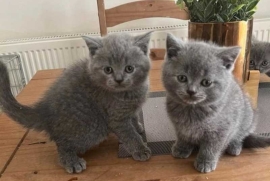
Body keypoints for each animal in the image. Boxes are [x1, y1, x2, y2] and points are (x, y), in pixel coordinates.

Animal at [0, 31, 152, 173]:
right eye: (108, 69)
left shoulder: (131, 109)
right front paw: (140, 150)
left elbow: (134, 118)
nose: (119, 79)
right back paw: (72, 161)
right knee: (62, 144)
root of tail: (44, 110)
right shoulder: (116, 118)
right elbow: (129, 134)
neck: (129, 92)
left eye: (129, 68)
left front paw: (138, 127)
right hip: (92, 128)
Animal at [162, 33, 270, 173]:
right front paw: (182, 148)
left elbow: (212, 147)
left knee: (241, 135)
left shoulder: (222, 130)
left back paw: (234, 146)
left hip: (247, 119)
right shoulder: (180, 127)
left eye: (206, 82)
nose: (191, 91)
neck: (192, 110)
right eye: (182, 78)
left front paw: (205, 161)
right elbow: (183, 136)